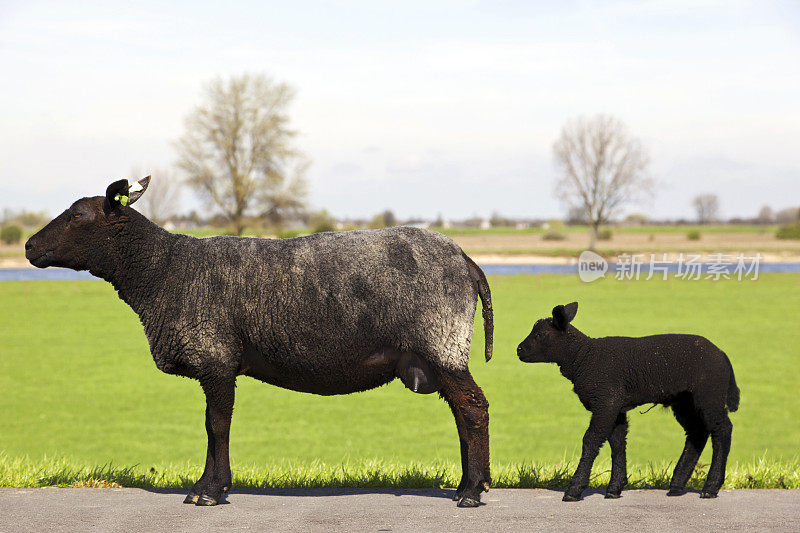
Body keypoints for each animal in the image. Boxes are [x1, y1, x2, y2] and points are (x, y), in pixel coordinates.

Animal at [26, 179, 494, 508]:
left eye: (77, 216)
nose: (29, 246)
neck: (164, 270)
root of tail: (466, 260)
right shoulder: (216, 361)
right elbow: (212, 425)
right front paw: (206, 487)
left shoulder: (215, 357)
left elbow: (216, 424)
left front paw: (210, 491)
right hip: (438, 351)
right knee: (462, 413)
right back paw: (468, 484)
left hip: (442, 343)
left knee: (474, 409)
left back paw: (472, 492)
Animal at [520, 302, 736, 500]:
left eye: (540, 334)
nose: (519, 350)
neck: (585, 357)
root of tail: (723, 355)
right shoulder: (615, 406)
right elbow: (617, 441)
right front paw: (615, 487)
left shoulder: (606, 401)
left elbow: (591, 439)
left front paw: (574, 489)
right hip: (684, 401)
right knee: (697, 433)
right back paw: (677, 485)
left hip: (709, 394)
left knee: (722, 429)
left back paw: (711, 487)